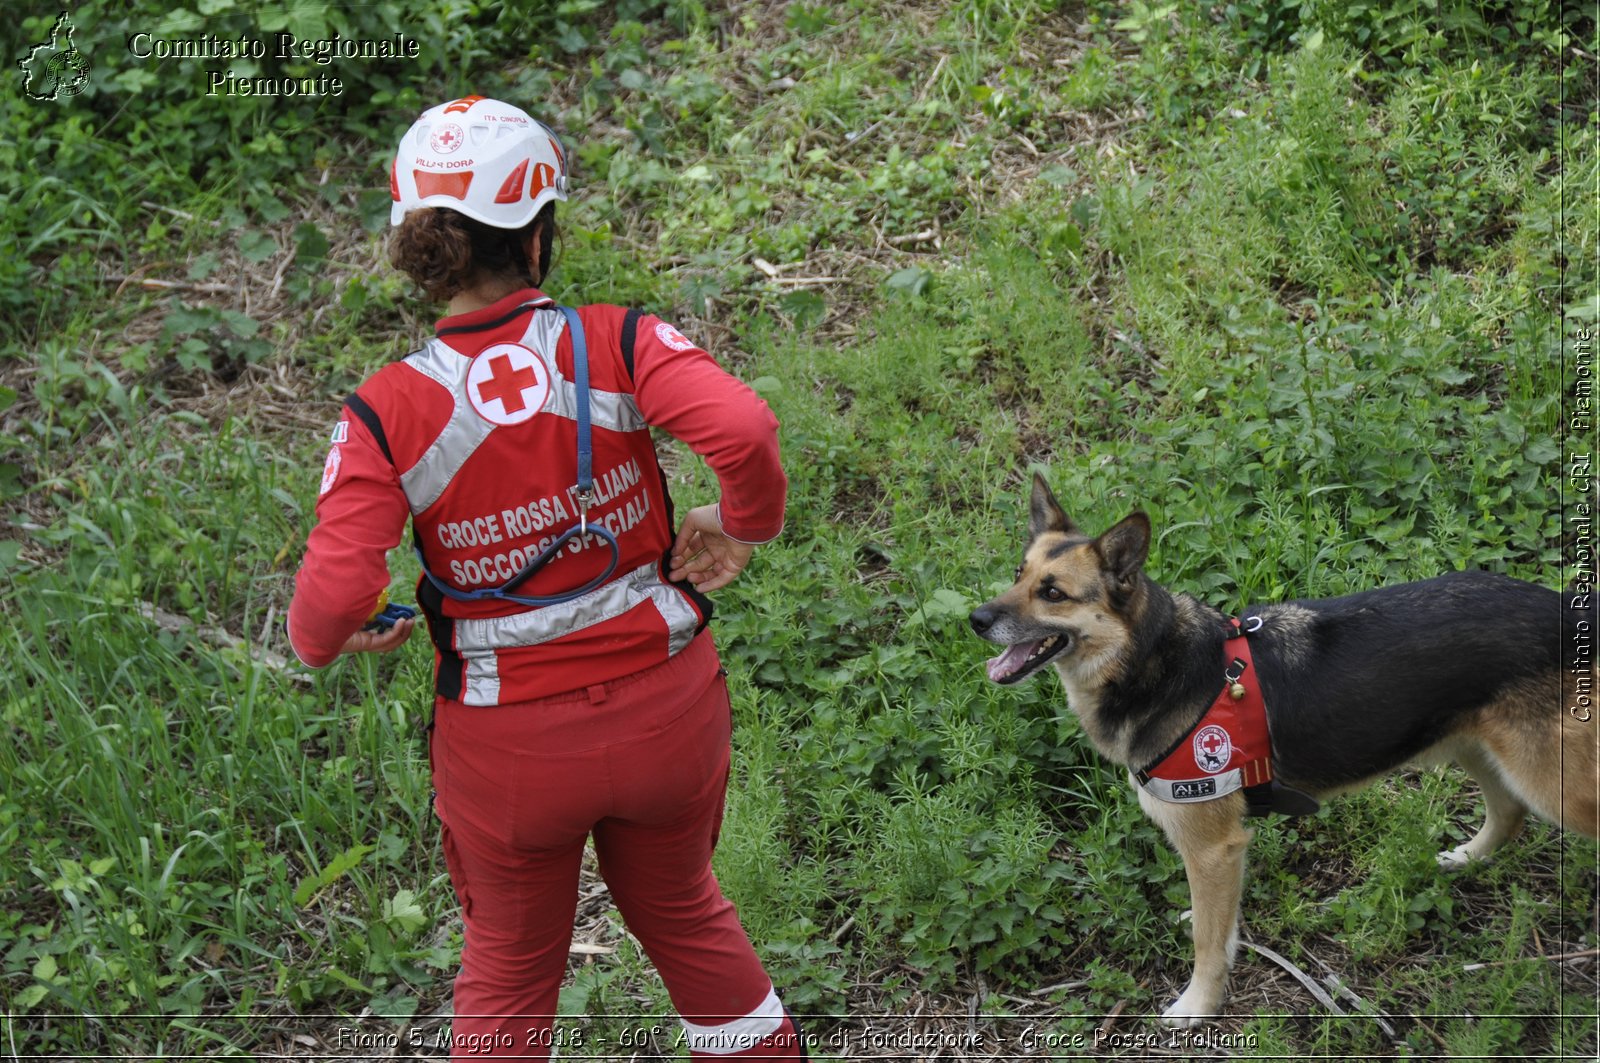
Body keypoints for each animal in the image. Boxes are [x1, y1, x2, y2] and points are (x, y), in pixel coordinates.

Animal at [966, 477, 1593, 1024]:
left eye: (1052, 593)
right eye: (1018, 574)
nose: (975, 619)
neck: (1151, 661)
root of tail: (1569, 609)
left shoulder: (1212, 847)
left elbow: (1207, 945)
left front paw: (1197, 1007)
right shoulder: (1222, 854)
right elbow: (1218, 926)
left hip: (1553, 783)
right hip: (1474, 746)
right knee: (1508, 813)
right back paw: (1467, 858)